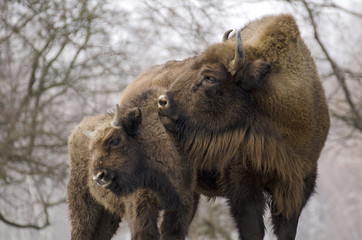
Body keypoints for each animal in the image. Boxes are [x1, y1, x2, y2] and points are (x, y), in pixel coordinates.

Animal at [67, 86, 198, 240]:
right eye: (91, 149)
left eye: (114, 140)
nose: (98, 176)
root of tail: (73, 134)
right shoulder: (141, 206)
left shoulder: (182, 204)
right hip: (84, 207)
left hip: (108, 215)